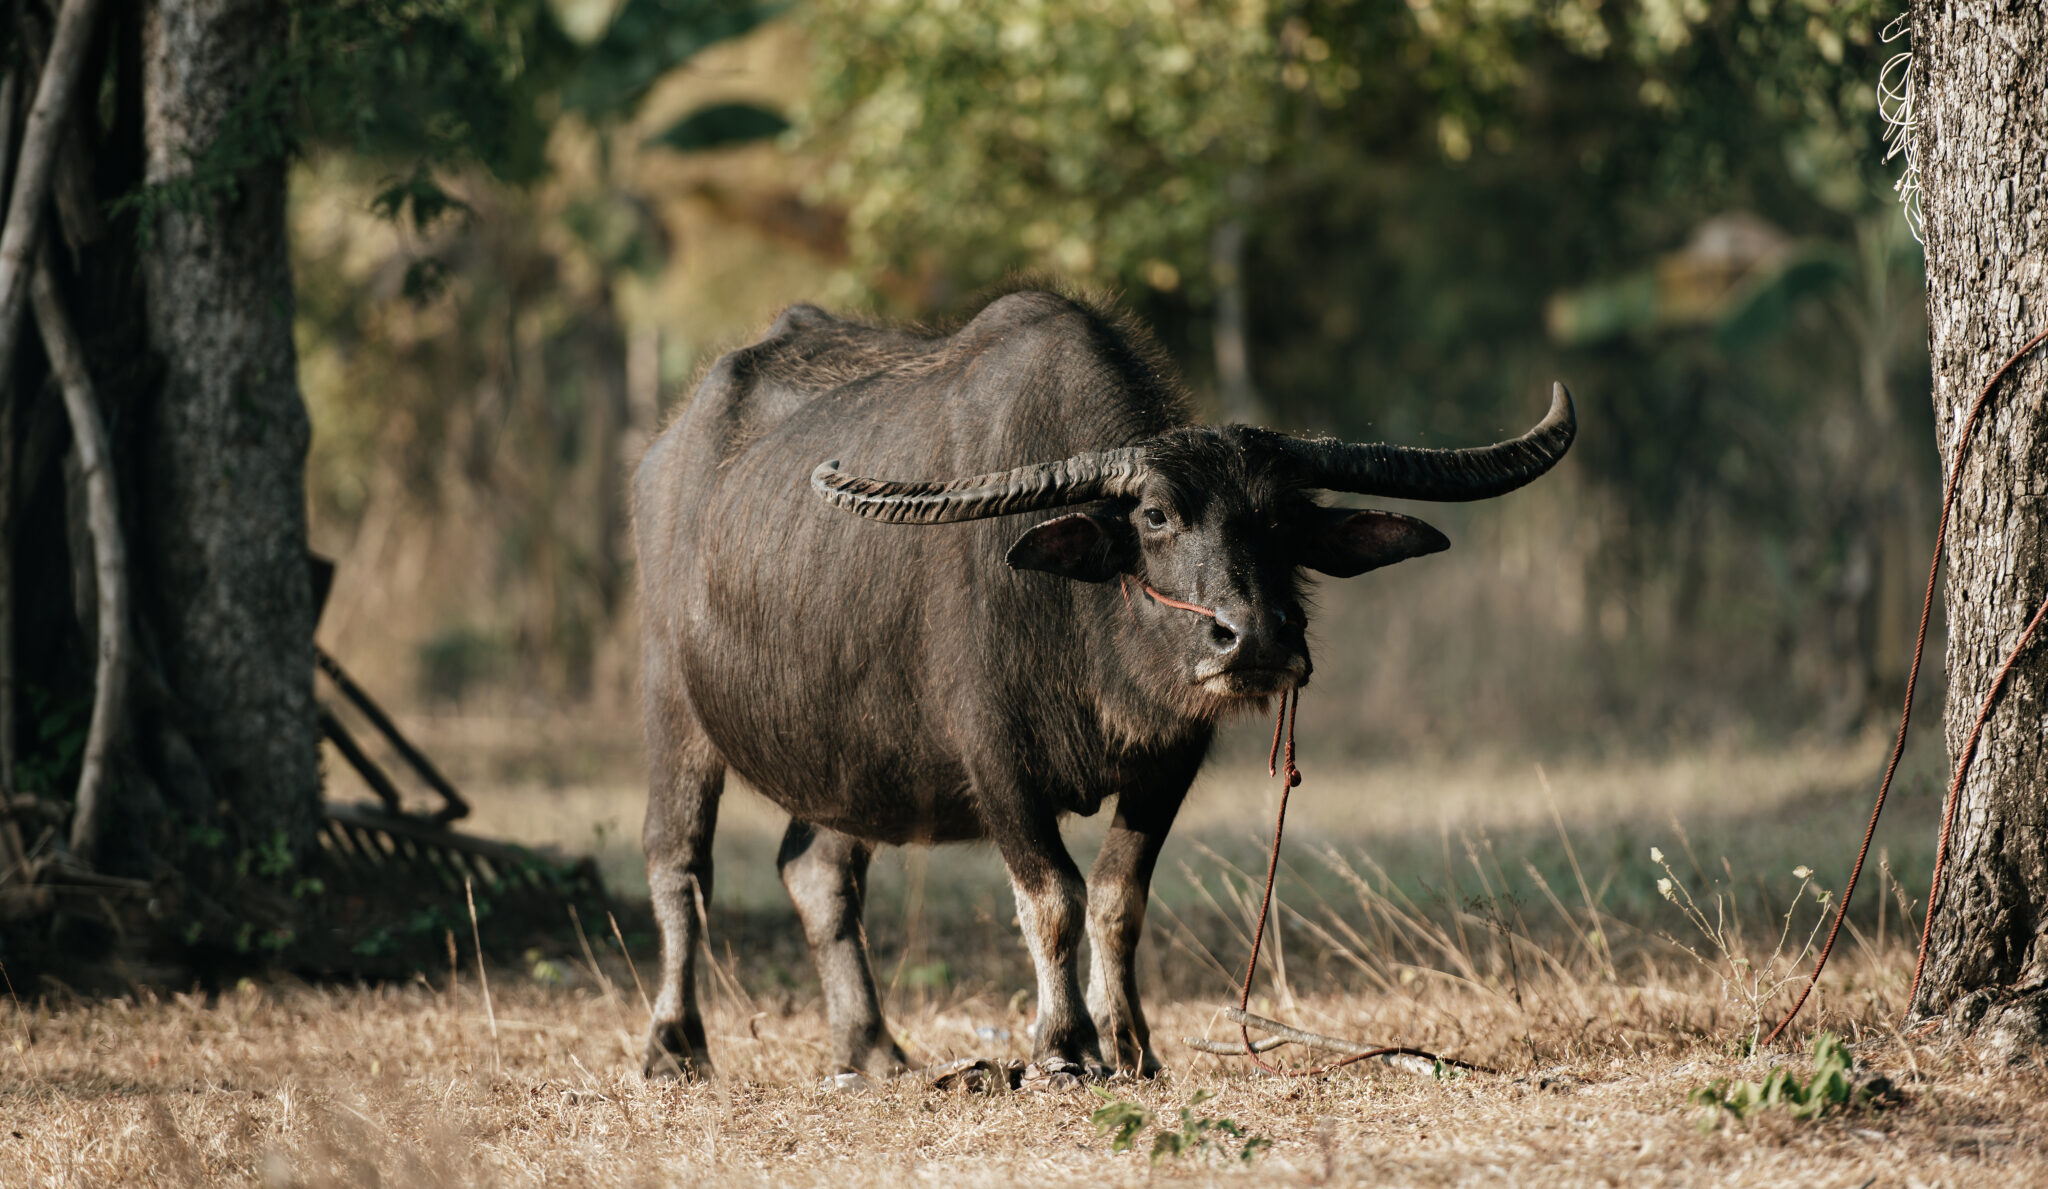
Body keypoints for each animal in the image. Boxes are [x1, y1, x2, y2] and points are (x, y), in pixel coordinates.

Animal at [632, 289, 1573, 1081]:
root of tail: (669, 450)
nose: (1255, 636)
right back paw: (675, 1045)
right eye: (1154, 515)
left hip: (850, 762)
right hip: (674, 707)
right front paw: (1063, 1043)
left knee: (817, 870)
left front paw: (1130, 1042)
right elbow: (1053, 894)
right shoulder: (994, 759)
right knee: (680, 864)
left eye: (1282, 520)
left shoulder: (1169, 757)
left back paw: (871, 1047)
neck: (1085, 627)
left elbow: (1120, 895)